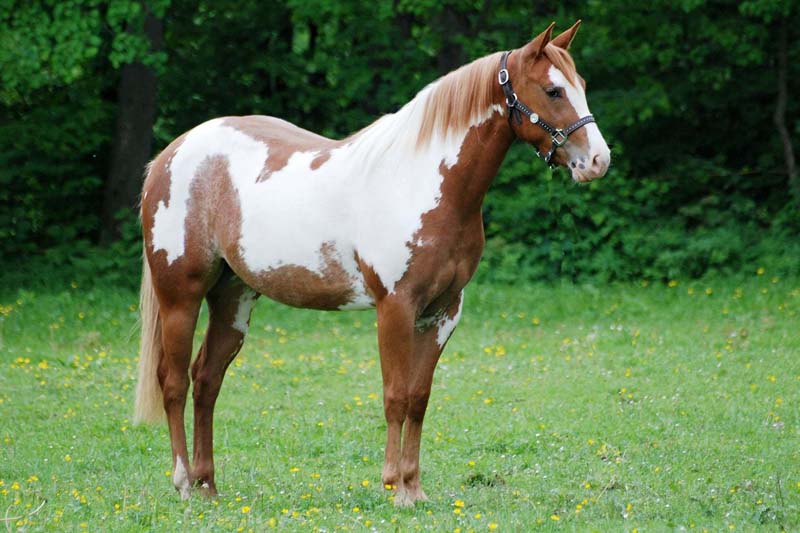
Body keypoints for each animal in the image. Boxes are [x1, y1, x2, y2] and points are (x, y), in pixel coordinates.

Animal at [133, 20, 610, 506]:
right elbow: (395, 396)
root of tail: (169, 155)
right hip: (181, 296)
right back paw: (183, 483)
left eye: (581, 85)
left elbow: (419, 397)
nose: (598, 161)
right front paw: (394, 486)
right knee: (174, 382)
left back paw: (207, 485)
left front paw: (415, 488)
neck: (422, 181)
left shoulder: (443, 312)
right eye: (553, 91)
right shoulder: (395, 307)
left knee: (207, 379)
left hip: (233, 298)